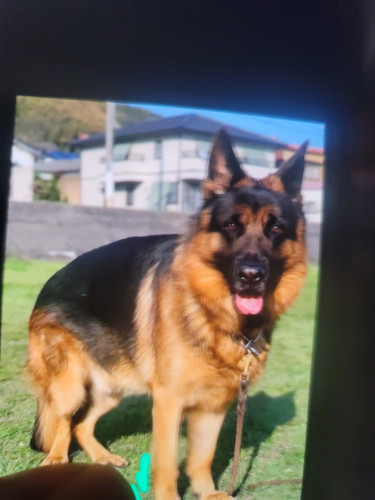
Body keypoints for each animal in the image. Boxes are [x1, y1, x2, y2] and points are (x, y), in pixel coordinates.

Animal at [26, 131, 308, 498]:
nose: (251, 276)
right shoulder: (168, 403)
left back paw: (103, 457)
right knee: (62, 424)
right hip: (70, 385)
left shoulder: (213, 405)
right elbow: (168, 466)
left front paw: (209, 493)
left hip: (112, 387)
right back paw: (58, 462)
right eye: (232, 225)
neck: (209, 310)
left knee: (81, 425)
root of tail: (48, 284)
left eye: (275, 229)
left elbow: (202, 459)